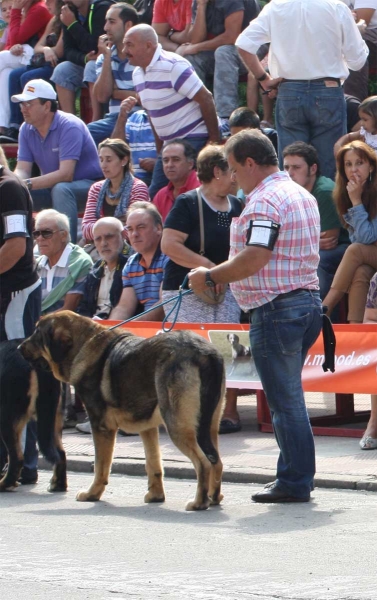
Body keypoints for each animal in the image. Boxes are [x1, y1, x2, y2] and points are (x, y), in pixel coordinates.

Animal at [19, 314, 225, 510]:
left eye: (37, 333)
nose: (19, 347)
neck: (83, 345)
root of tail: (205, 353)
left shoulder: (101, 427)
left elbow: (101, 466)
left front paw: (92, 494)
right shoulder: (147, 428)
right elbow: (153, 464)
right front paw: (156, 496)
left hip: (178, 427)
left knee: (204, 463)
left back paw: (199, 503)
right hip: (209, 428)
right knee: (216, 462)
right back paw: (213, 498)